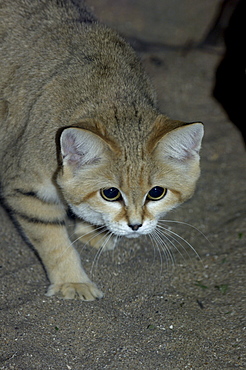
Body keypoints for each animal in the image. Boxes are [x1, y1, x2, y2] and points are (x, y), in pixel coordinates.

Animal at [0, 0, 204, 300]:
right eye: (110, 193)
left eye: (156, 192)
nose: (135, 225)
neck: (108, 95)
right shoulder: (26, 189)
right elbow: (53, 241)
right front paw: (72, 281)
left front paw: (91, 228)